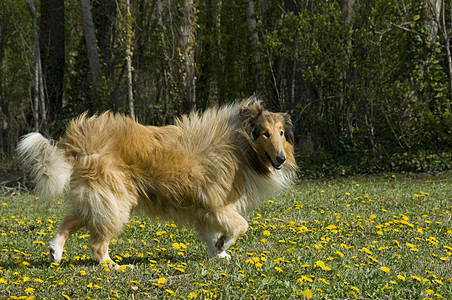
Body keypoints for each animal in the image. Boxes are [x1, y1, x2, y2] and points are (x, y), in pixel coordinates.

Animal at [17, 98, 298, 268]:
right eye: (265, 134)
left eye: (281, 133)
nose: (281, 159)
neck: (242, 144)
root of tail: (79, 139)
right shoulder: (216, 203)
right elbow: (241, 226)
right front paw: (222, 246)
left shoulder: (204, 210)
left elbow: (213, 234)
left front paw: (218, 252)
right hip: (116, 201)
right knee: (97, 244)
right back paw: (114, 266)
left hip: (98, 198)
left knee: (70, 221)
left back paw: (55, 252)